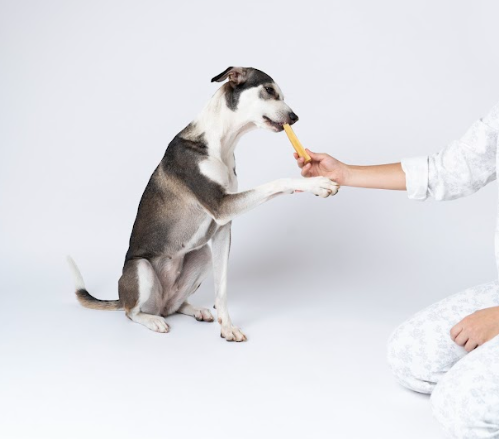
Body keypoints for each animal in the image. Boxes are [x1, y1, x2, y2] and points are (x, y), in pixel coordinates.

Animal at [67, 67, 340, 342]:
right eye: (270, 90)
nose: (294, 117)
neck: (220, 143)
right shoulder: (221, 205)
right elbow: (277, 182)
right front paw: (318, 183)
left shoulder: (222, 228)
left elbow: (222, 286)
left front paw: (227, 327)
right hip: (140, 269)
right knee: (132, 312)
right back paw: (152, 320)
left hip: (201, 256)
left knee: (174, 306)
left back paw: (196, 310)